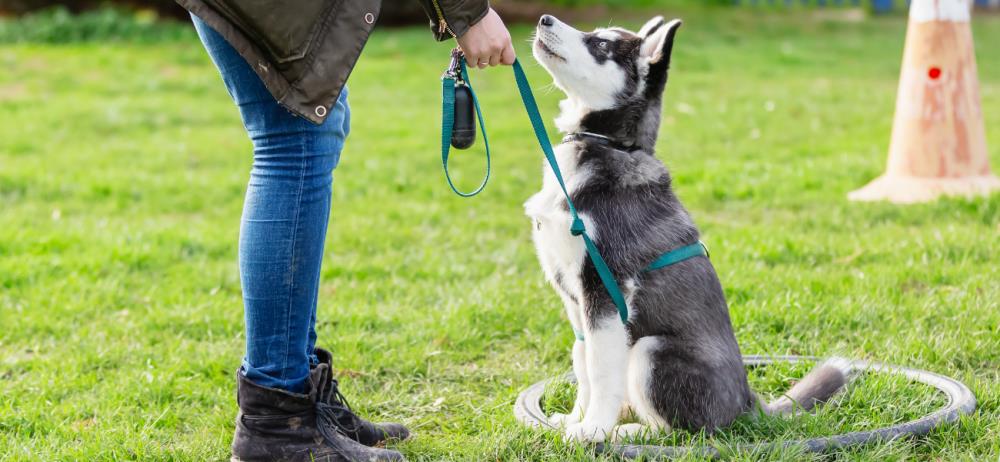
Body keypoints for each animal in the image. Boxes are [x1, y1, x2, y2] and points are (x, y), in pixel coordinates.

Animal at [528, 12, 848, 442]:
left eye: (601, 45)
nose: (544, 18)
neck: (608, 145)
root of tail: (748, 402)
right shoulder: (575, 299)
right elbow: (582, 361)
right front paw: (576, 418)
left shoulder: (606, 290)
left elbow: (600, 370)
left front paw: (593, 429)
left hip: (650, 349)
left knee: (685, 431)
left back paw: (630, 432)